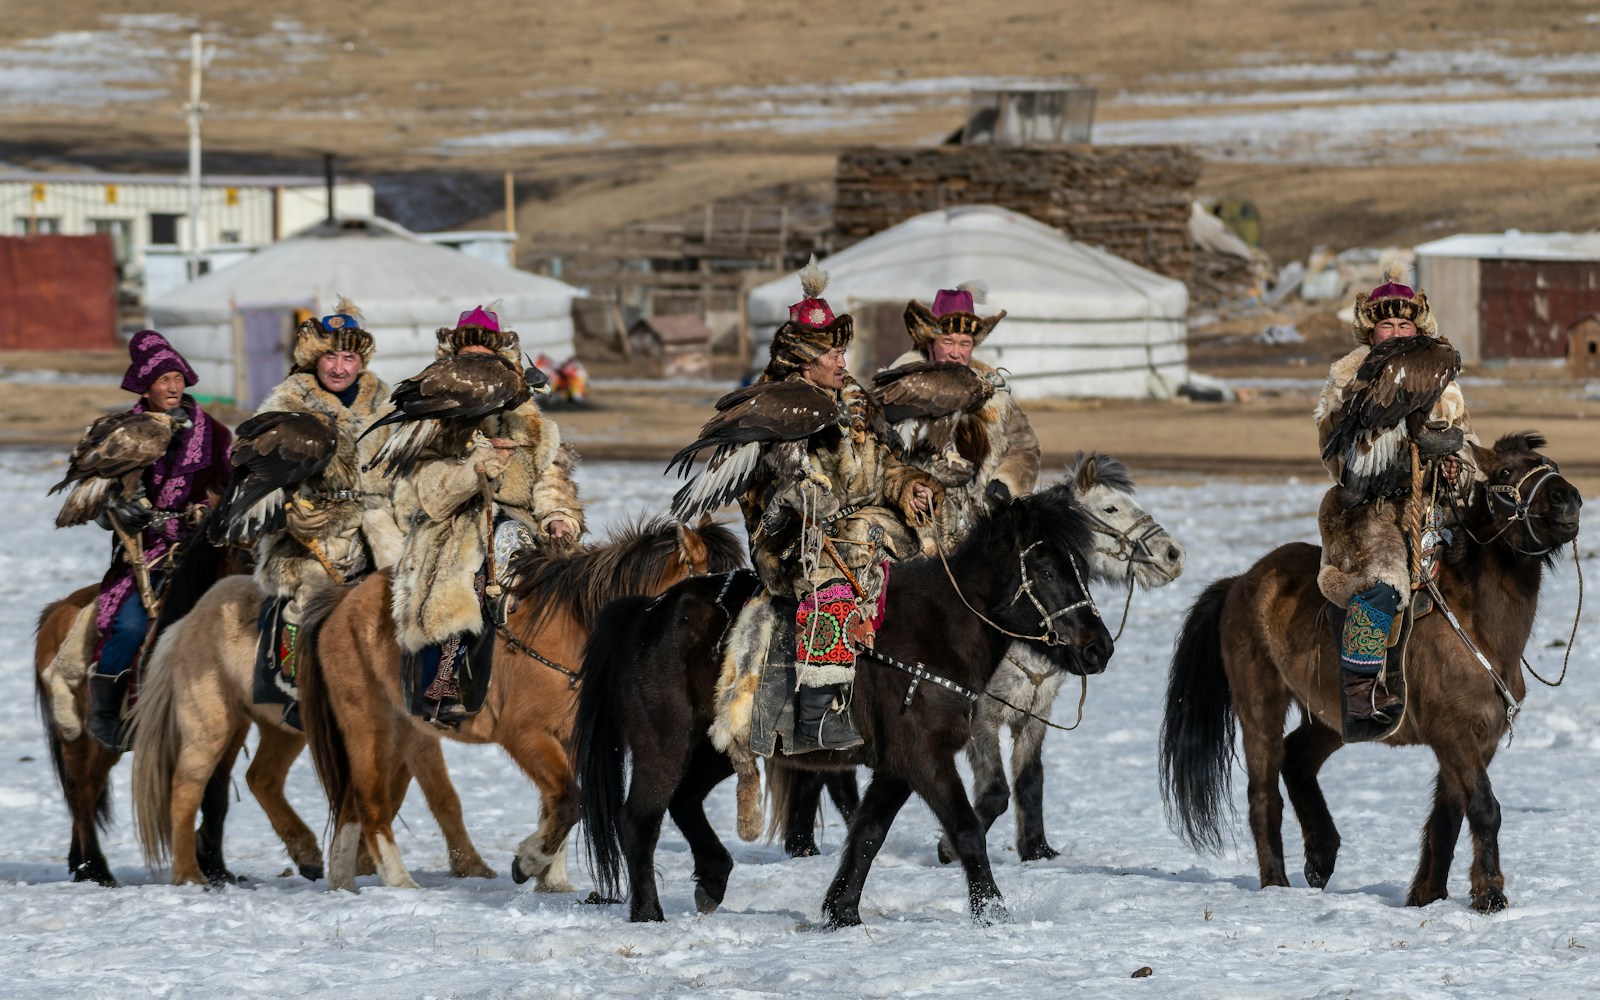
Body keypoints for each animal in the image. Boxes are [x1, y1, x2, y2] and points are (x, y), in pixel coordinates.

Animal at [300, 515, 742, 889]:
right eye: (718, 595)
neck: (574, 629)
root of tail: (341, 605)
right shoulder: (526, 737)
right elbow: (567, 800)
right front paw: (530, 862)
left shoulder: (570, 739)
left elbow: (559, 804)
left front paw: (552, 878)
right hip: (369, 725)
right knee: (371, 803)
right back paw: (399, 881)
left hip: (402, 729)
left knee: (351, 803)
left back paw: (343, 882)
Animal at [582, 480, 1120, 921]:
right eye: (1045, 571)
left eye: (1079, 569)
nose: (1100, 648)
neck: (935, 634)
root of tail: (646, 613)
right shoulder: (925, 757)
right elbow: (965, 828)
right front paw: (992, 910)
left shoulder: (897, 766)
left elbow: (868, 835)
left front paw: (841, 911)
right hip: (664, 745)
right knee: (641, 819)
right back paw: (648, 913)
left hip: (716, 746)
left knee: (685, 800)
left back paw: (713, 877)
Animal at [777, 451, 1190, 857]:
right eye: (1111, 508)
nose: (1174, 554)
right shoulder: (982, 721)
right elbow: (995, 792)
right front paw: (948, 848)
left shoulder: (1035, 714)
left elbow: (1030, 781)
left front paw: (1037, 849)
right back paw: (804, 844)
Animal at [1158, 432, 1580, 915]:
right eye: (1507, 472)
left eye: (1551, 465)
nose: (1568, 499)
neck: (1478, 629)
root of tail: (1240, 582)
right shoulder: (1453, 733)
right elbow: (1484, 808)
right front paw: (1490, 894)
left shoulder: (1479, 739)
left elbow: (1448, 817)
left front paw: (1426, 897)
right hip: (1259, 705)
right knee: (1264, 793)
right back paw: (1277, 884)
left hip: (1335, 719)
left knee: (1297, 759)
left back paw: (1321, 858)